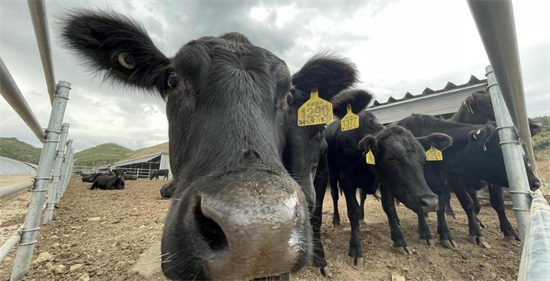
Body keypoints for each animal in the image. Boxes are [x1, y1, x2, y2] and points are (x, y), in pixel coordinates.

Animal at [320, 94, 452, 266]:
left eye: (423, 159)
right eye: (391, 158)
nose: (430, 202)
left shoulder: (385, 183)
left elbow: (389, 207)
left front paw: (399, 241)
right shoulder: (347, 182)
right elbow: (353, 212)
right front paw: (355, 249)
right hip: (333, 177)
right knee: (335, 197)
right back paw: (336, 219)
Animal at [398, 114, 540, 247]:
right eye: (500, 149)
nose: (536, 182)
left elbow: (497, 204)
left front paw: (509, 231)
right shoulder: (453, 180)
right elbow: (467, 204)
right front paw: (475, 233)